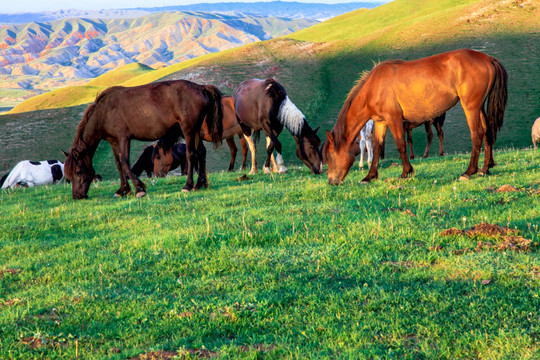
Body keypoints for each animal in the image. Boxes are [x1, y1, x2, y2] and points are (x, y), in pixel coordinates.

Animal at [64, 79, 223, 200]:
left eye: (78, 171)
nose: (77, 196)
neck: (105, 112)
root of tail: (201, 87)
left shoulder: (123, 138)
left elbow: (125, 162)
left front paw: (139, 188)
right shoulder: (113, 141)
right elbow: (118, 164)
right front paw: (122, 190)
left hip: (188, 130)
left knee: (191, 155)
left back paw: (188, 186)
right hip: (194, 130)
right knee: (201, 152)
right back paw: (200, 184)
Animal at [324, 48, 506, 184]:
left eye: (330, 156)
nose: (332, 181)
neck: (374, 87)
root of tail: (487, 58)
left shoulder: (394, 119)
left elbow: (401, 145)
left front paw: (406, 172)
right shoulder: (381, 122)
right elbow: (376, 148)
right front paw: (370, 176)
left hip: (471, 107)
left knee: (477, 134)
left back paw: (469, 172)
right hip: (479, 107)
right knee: (487, 132)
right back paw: (485, 169)